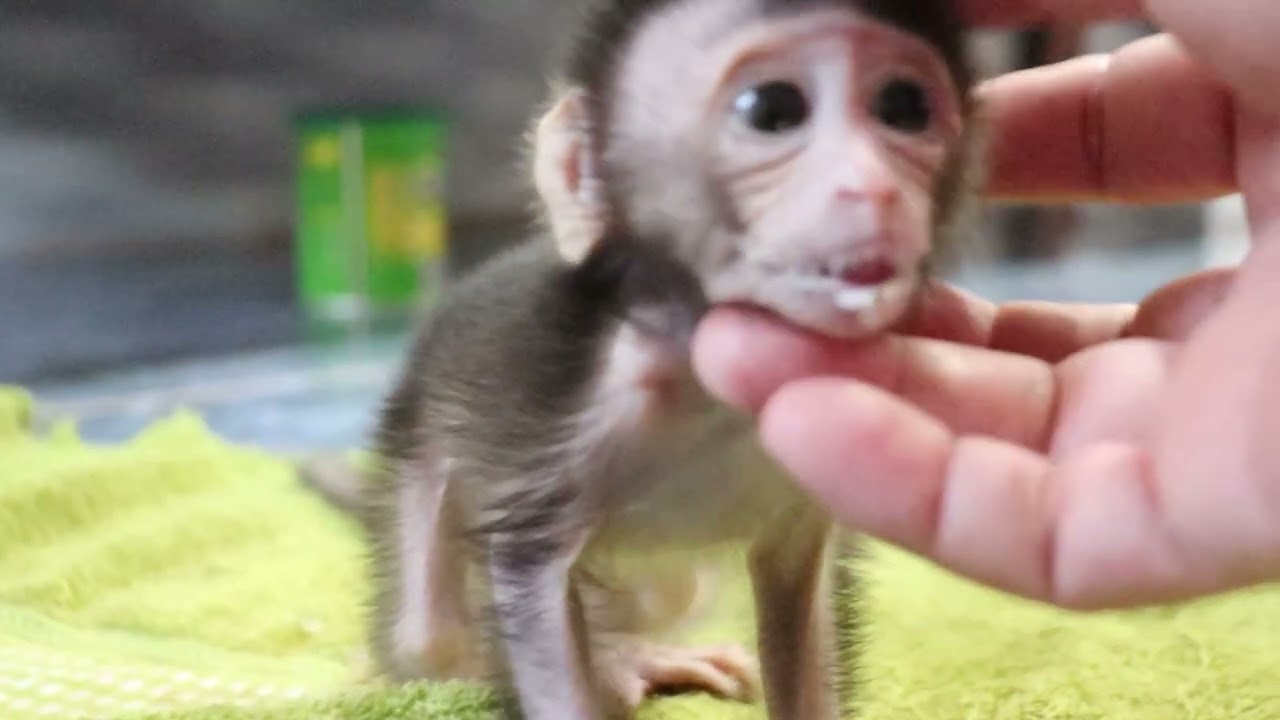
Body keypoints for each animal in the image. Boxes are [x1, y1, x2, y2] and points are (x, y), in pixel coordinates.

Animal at [300, 0, 982, 718]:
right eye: (771, 110)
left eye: (903, 107)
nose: (874, 189)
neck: (710, 391)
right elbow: (525, 579)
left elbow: (800, 593)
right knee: (430, 641)